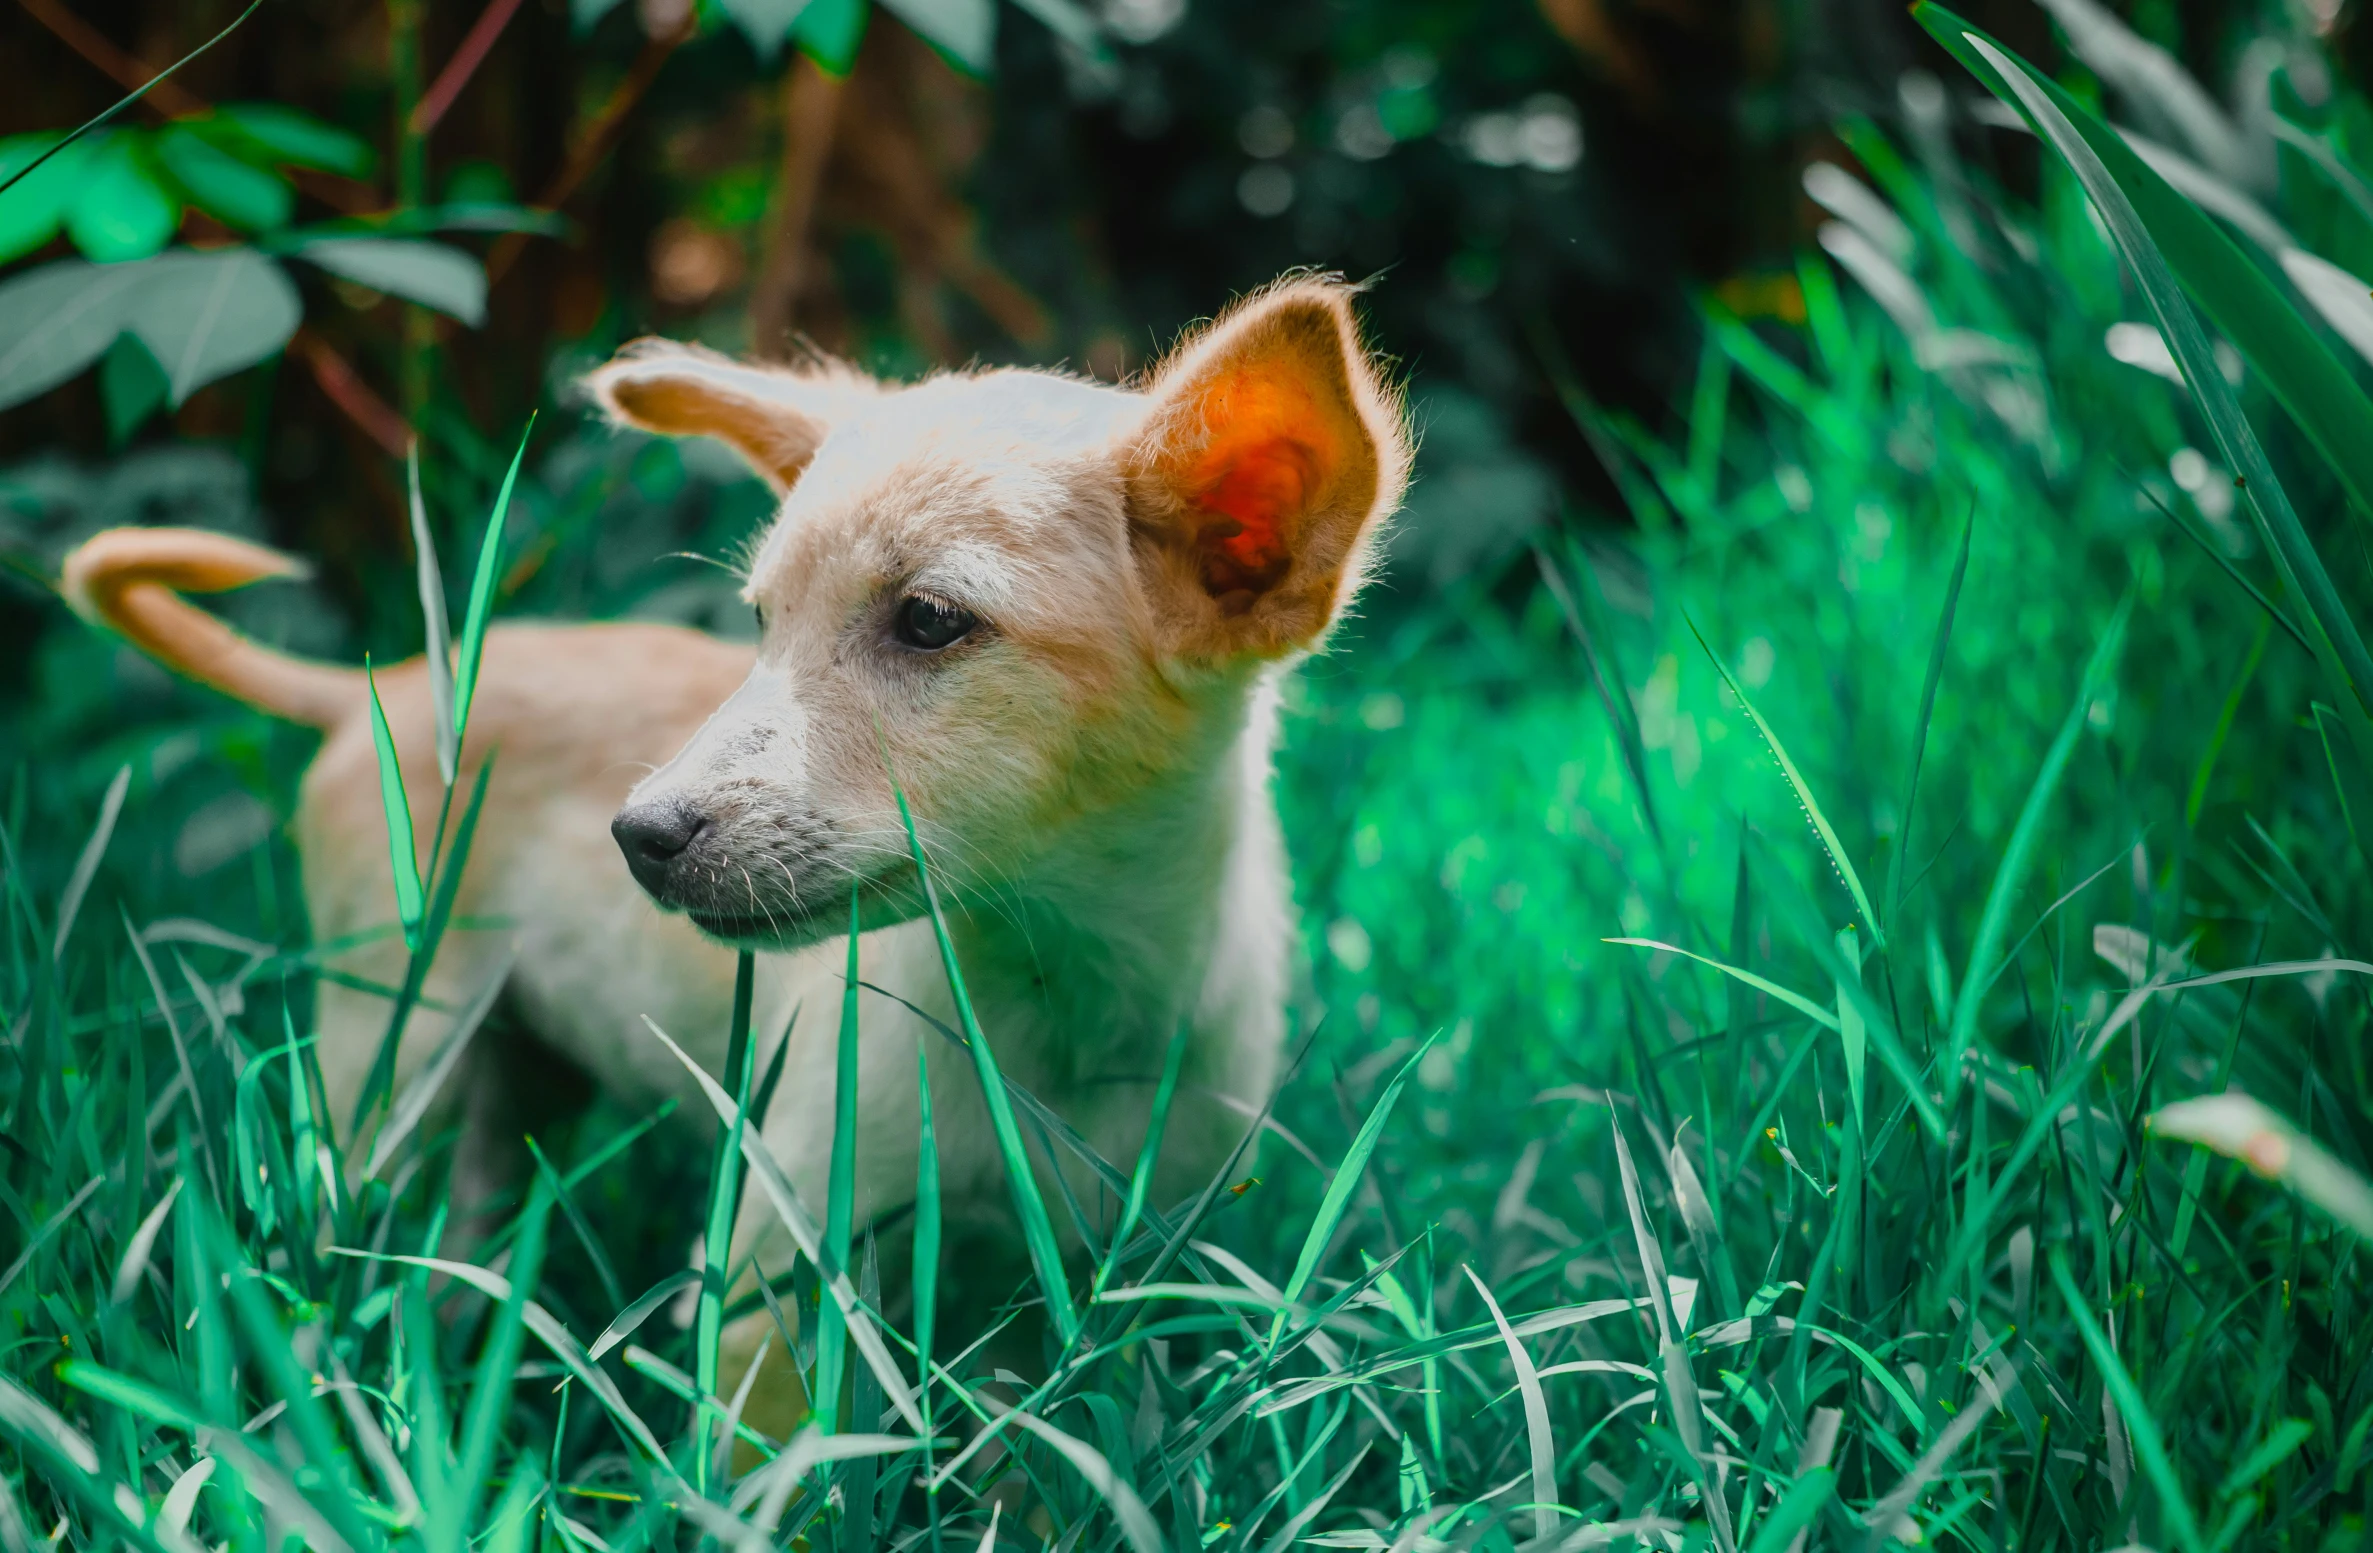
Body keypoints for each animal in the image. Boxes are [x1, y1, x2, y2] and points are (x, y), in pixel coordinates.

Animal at [60, 276, 1404, 1434]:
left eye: (930, 620)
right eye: (760, 623)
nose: (638, 837)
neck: (1056, 1003)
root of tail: (379, 689)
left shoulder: (1128, 1284)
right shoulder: (774, 1264)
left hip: (514, 1066)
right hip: (386, 1049)